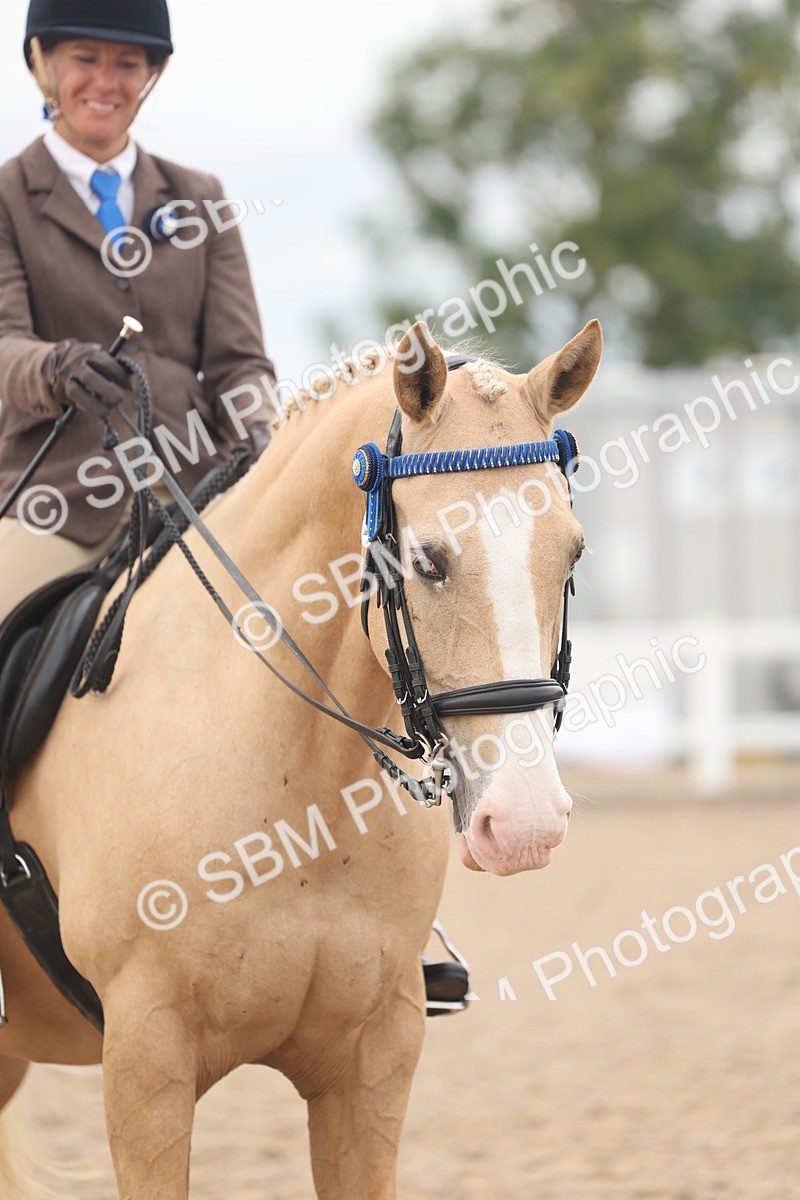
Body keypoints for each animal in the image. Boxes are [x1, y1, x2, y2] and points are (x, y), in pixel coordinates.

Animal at [0, 316, 601, 1199]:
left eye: (572, 555)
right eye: (427, 559)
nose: (526, 824)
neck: (302, 798)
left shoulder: (374, 1058)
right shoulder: (145, 1057)